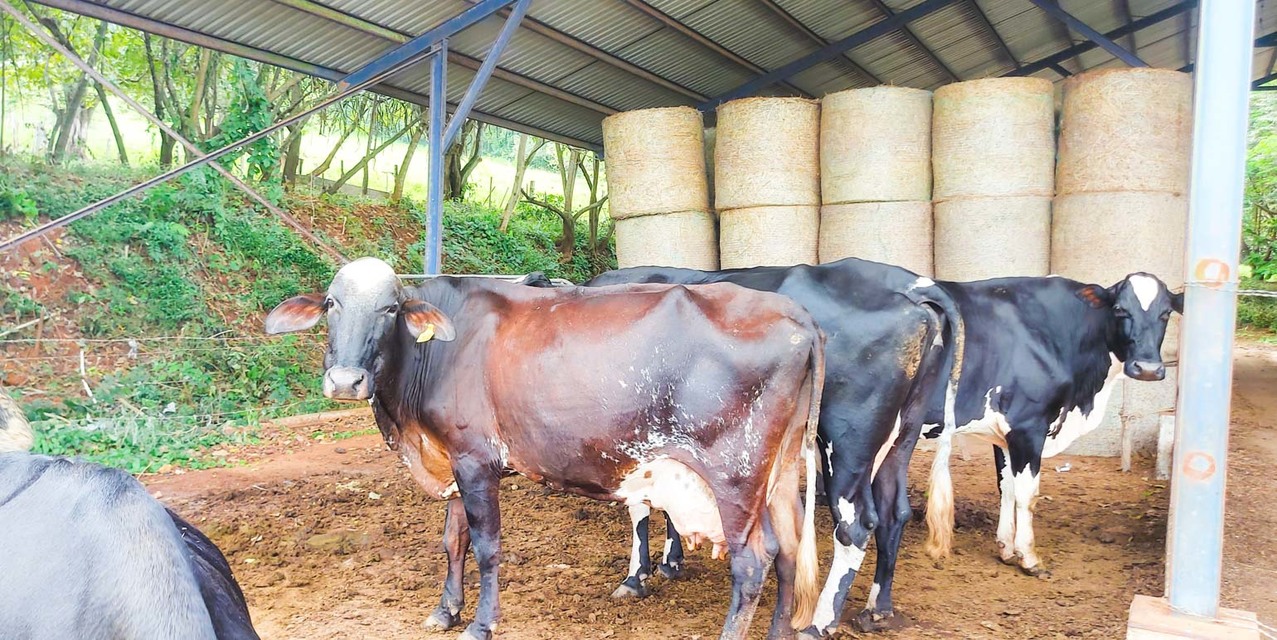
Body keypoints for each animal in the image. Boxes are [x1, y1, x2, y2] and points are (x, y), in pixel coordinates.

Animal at [266, 255, 827, 638]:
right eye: (332, 304)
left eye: (390, 308)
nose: (345, 381)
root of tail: (798, 316)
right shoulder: (452, 458)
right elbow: (453, 541)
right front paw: (445, 610)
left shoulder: (476, 461)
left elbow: (487, 546)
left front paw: (480, 624)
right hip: (778, 475)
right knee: (788, 551)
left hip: (734, 476)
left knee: (753, 563)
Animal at [574, 258, 960, 633]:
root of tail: (913, 287)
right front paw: (671, 561)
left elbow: (639, 505)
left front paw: (637, 576)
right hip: (901, 437)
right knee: (895, 512)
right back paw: (877, 610)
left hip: (848, 443)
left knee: (856, 526)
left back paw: (819, 622)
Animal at [924, 270, 1179, 574]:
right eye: (1119, 309)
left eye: (1166, 312)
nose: (1148, 369)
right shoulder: (1027, 426)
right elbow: (1027, 494)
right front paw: (1029, 557)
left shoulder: (1004, 433)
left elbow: (1006, 488)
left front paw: (1006, 549)